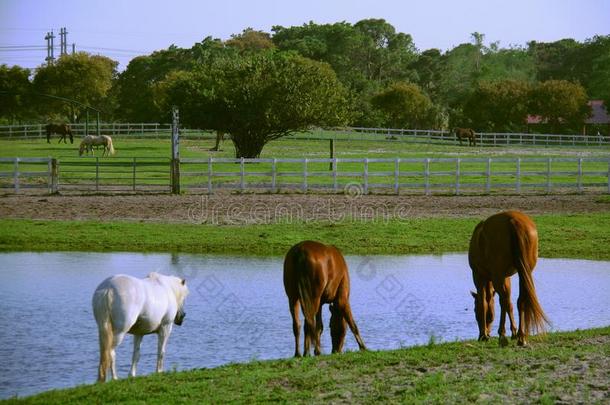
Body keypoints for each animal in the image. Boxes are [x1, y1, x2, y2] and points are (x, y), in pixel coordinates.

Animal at [468, 210, 548, 346]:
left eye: (474, 310)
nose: (487, 332)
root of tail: (513, 221)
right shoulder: (506, 278)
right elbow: (509, 303)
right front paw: (514, 332)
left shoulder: (479, 276)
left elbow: (484, 303)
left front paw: (483, 335)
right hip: (524, 273)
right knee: (519, 300)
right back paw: (521, 336)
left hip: (498, 277)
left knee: (503, 300)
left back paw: (502, 335)